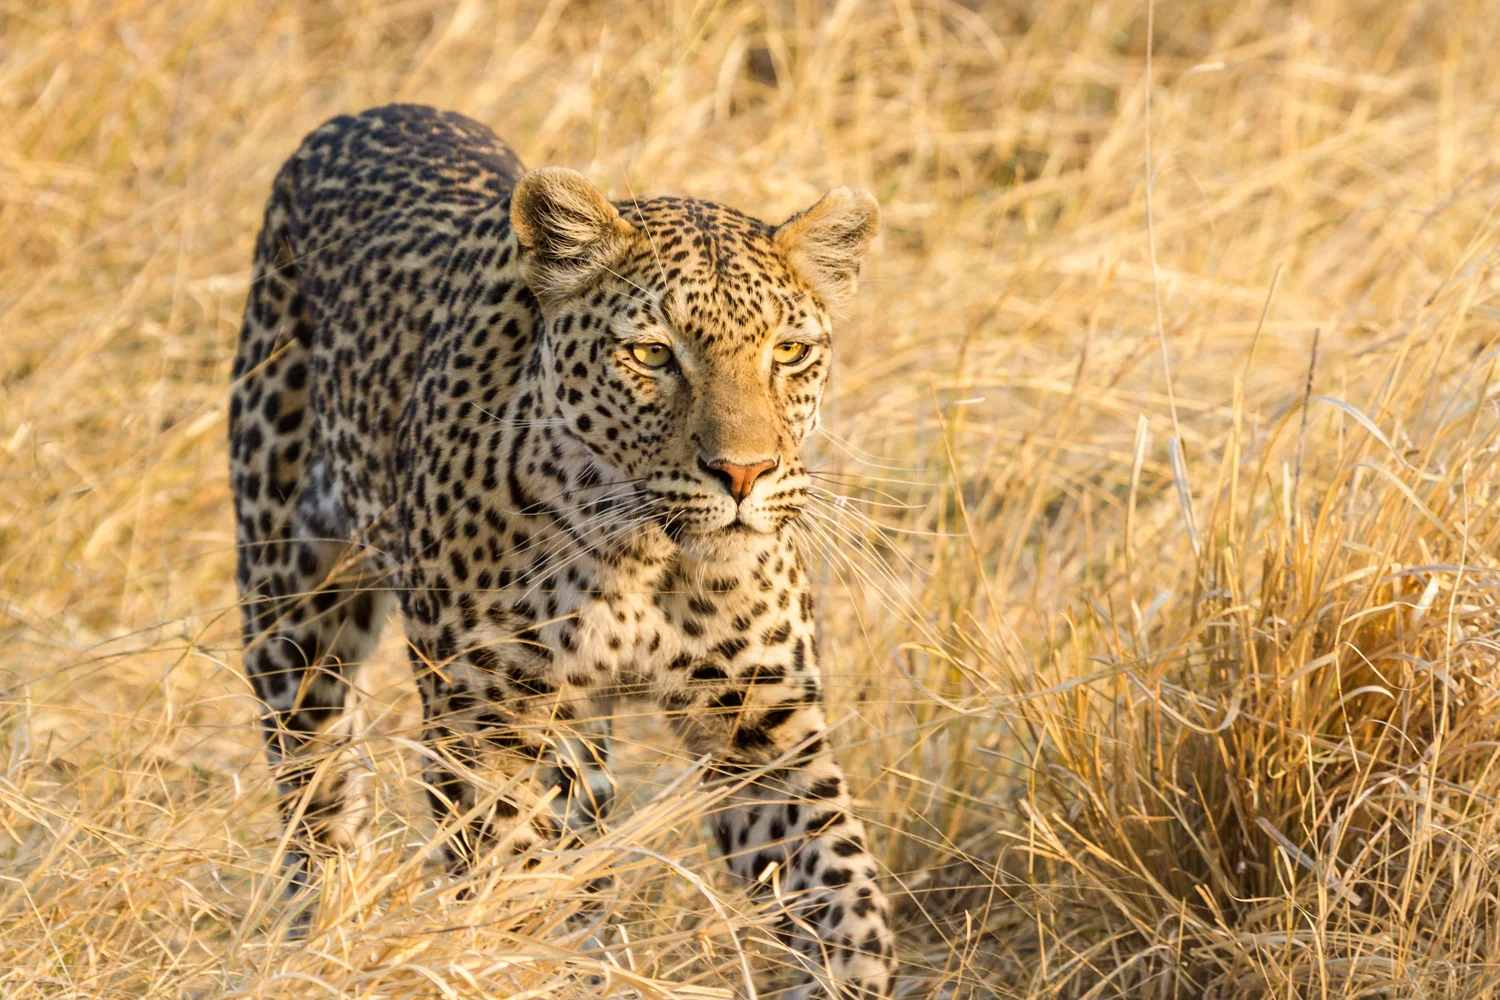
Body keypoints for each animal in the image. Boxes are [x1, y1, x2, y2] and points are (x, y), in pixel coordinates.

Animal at [229, 103, 893, 998]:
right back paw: (323, 934)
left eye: (788, 353)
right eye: (652, 355)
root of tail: (367, 113)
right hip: (292, 610)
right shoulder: (485, 724)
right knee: (319, 794)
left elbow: (845, 897)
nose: (744, 473)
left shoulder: (763, 723)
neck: (646, 555)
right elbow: (509, 879)